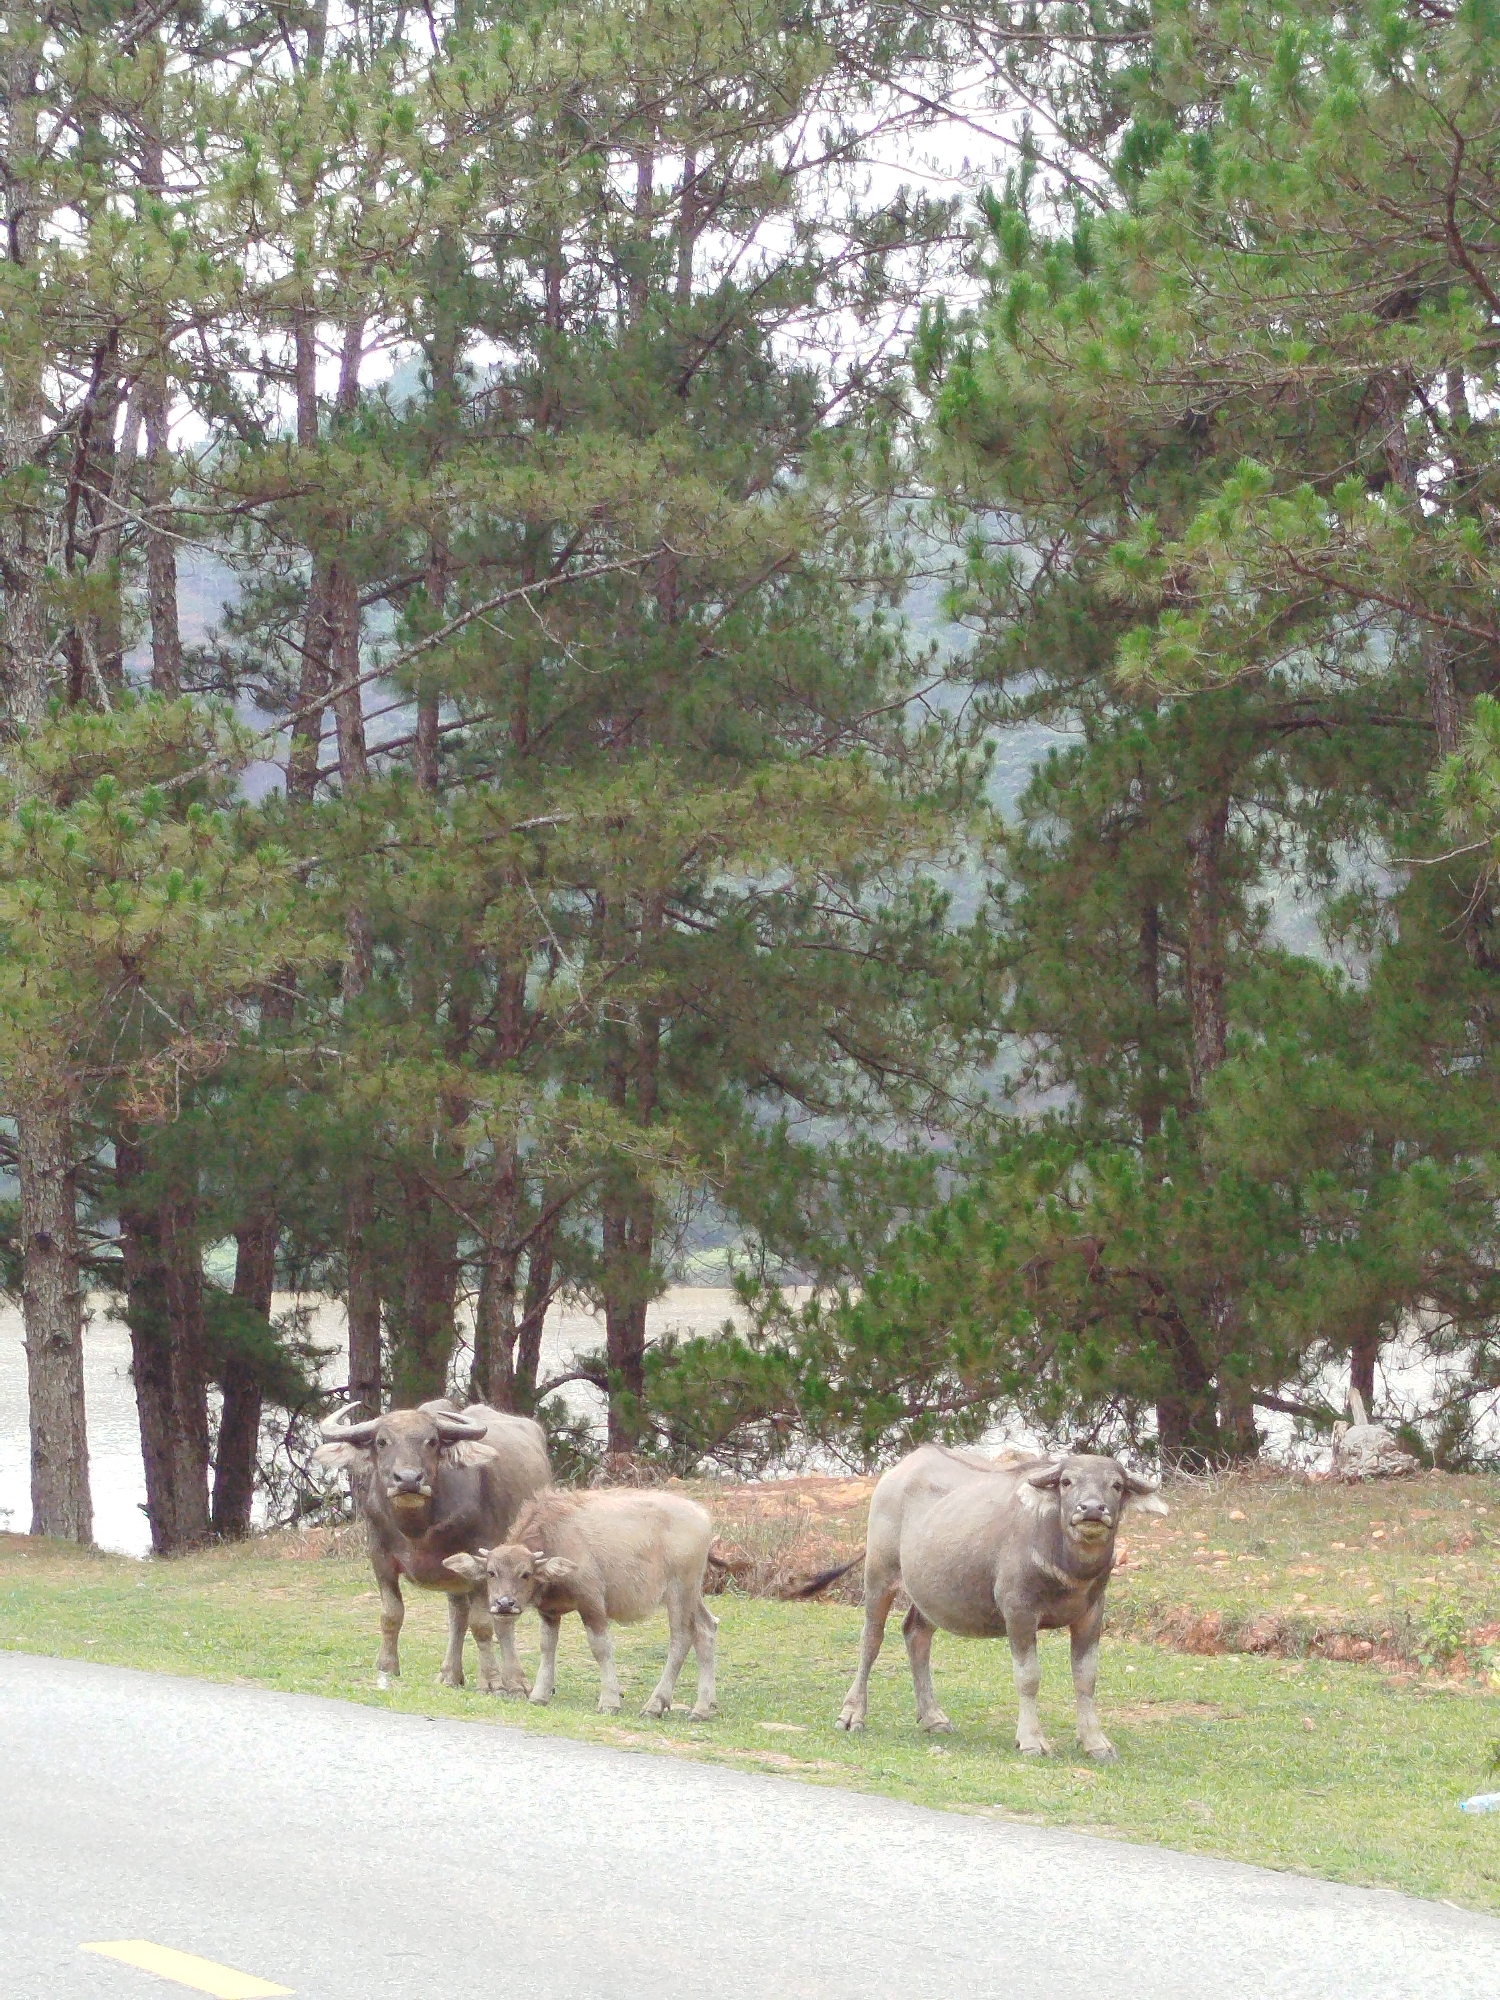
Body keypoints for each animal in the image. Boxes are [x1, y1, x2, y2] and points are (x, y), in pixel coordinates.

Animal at [314, 1399, 550, 1695]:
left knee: (501, 1620)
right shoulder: (380, 1559)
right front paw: (387, 1666)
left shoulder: (483, 1564)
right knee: (457, 1616)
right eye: (382, 1441)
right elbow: (391, 1613)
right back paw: (450, 1675)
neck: (417, 1528)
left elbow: (482, 1624)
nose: (408, 1479)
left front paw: (491, 1681)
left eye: (432, 1441)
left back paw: (516, 1682)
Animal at [442, 1487, 718, 1721]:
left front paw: (610, 1701)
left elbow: (600, 1648)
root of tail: (703, 1515)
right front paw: (539, 1695)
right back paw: (702, 1708)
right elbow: (547, 1647)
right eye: (491, 1572)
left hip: (679, 1592)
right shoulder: (549, 1611)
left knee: (681, 1637)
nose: (504, 1604)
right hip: (694, 1595)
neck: (555, 1539)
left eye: (525, 1573)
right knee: (706, 1629)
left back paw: (655, 1705)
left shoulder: (591, 1602)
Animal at [827, 1444, 1166, 1759]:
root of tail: (900, 1470)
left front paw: (1096, 1743)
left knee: (916, 1634)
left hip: (931, 1593)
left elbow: (1086, 1677)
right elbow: (1028, 1676)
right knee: (871, 1638)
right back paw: (852, 1714)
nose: (1092, 1509)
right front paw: (1031, 1740)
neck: (1069, 1568)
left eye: (1116, 1485)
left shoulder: (1091, 1614)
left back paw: (934, 1717)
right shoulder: (1019, 1611)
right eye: (1067, 1481)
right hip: (879, 1573)